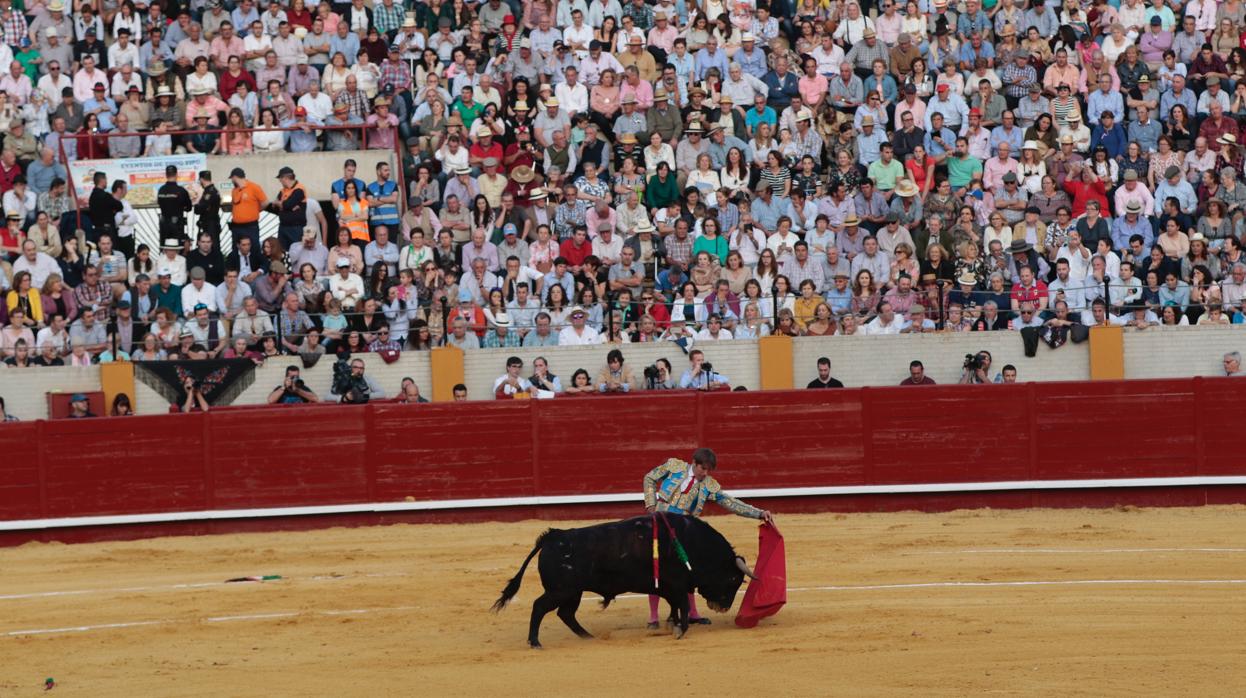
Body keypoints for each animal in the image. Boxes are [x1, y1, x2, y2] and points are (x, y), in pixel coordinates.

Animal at [490, 513, 752, 648]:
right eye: (733, 578)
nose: (723, 607)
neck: (693, 542)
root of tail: (552, 537)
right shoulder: (677, 584)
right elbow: (683, 606)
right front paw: (680, 630)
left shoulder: (669, 588)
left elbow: (675, 607)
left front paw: (673, 625)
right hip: (561, 590)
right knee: (540, 607)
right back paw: (535, 642)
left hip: (572, 592)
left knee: (566, 614)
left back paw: (588, 637)